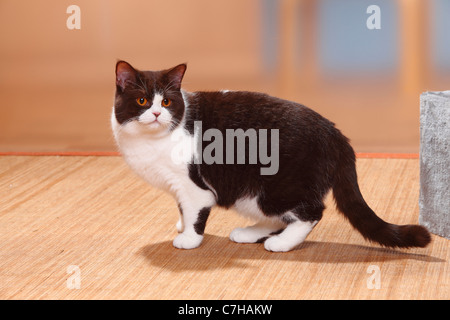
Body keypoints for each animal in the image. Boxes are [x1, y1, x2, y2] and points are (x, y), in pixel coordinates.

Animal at [110, 59, 430, 250]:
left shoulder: (194, 187)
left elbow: (195, 212)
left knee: (311, 212)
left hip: (276, 187)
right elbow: (181, 208)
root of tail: (336, 134)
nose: (156, 114)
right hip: (252, 195)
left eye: (166, 101)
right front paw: (180, 225)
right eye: (142, 100)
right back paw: (249, 233)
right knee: (278, 217)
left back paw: (282, 244)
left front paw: (188, 238)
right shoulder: (178, 187)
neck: (152, 141)